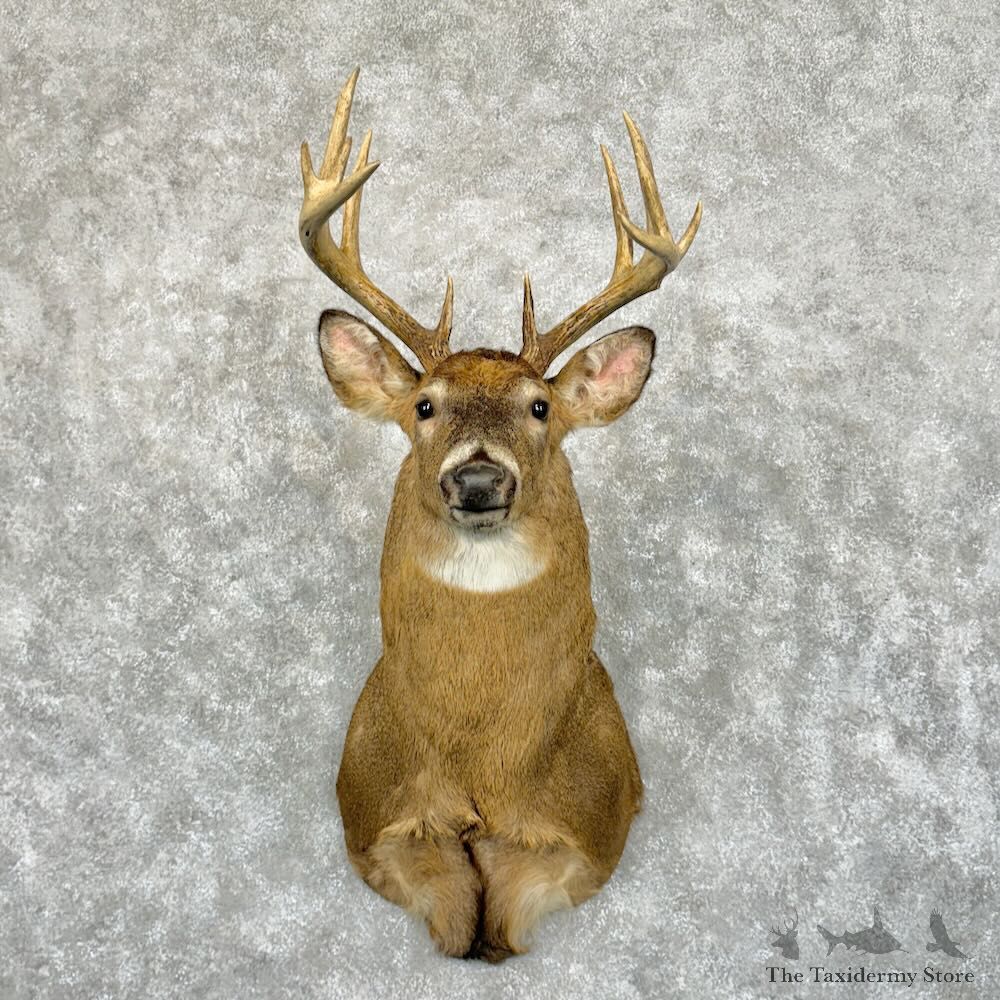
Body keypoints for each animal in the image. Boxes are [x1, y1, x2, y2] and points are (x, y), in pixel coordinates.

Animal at [298, 67, 701, 962]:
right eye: (424, 404)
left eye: (540, 405)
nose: (478, 480)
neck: (483, 771)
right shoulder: (378, 824)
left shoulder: (587, 836)